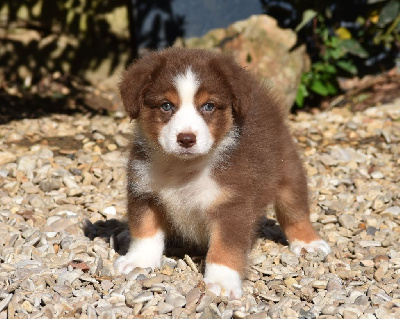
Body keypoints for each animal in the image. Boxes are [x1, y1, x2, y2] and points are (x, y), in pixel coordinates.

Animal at [114, 48, 330, 300]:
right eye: (166, 106)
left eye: (208, 106)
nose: (186, 139)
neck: (184, 169)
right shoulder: (144, 191)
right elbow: (145, 232)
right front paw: (138, 261)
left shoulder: (232, 205)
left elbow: (225, 248)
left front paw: (221, 282)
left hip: (288, 172)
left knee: (295, 211)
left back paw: (308, 243)